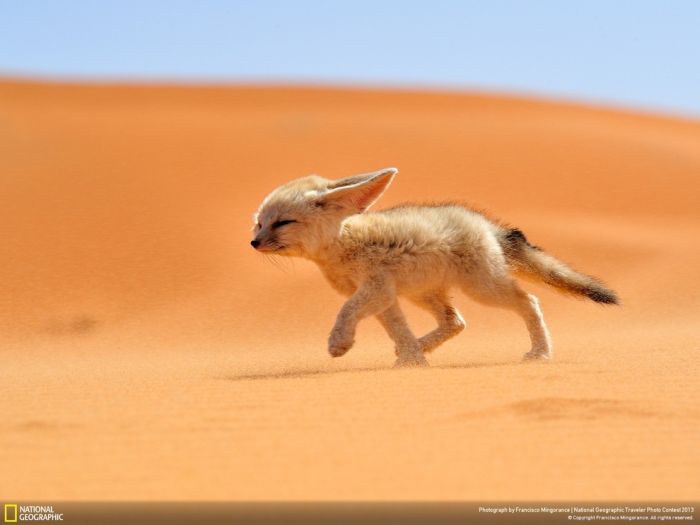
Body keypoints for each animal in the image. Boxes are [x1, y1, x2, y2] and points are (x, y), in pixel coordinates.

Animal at [252, 167, 616, 364]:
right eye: (259, 224)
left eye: (283, 223)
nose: (253, 243)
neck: (343, 244)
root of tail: (487, 225)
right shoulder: (385, 297)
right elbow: (398, 330)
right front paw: (413, 360)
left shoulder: (375, 289)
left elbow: (346, 311)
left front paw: (339, 343)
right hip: (423, 293)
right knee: (456, 322)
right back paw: (420, 348)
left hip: (483, 289)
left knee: (529, 301)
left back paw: (540, 353)